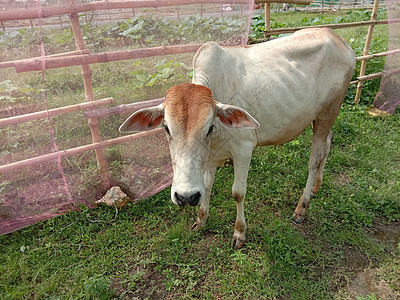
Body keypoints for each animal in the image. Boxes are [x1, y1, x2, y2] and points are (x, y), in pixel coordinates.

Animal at [119, 28, 356, 250]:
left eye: (210, 127)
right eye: (166, 128)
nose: (186, 197)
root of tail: (338, 39)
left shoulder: (243, 149)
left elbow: (238, 193)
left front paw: (240, 233)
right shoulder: (211, 156)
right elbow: (207, 186)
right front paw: (201, 220)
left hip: (329, 111)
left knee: (315, 159)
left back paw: (302, 207)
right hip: (320, 118)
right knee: (327, 144)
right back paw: (316, 188)